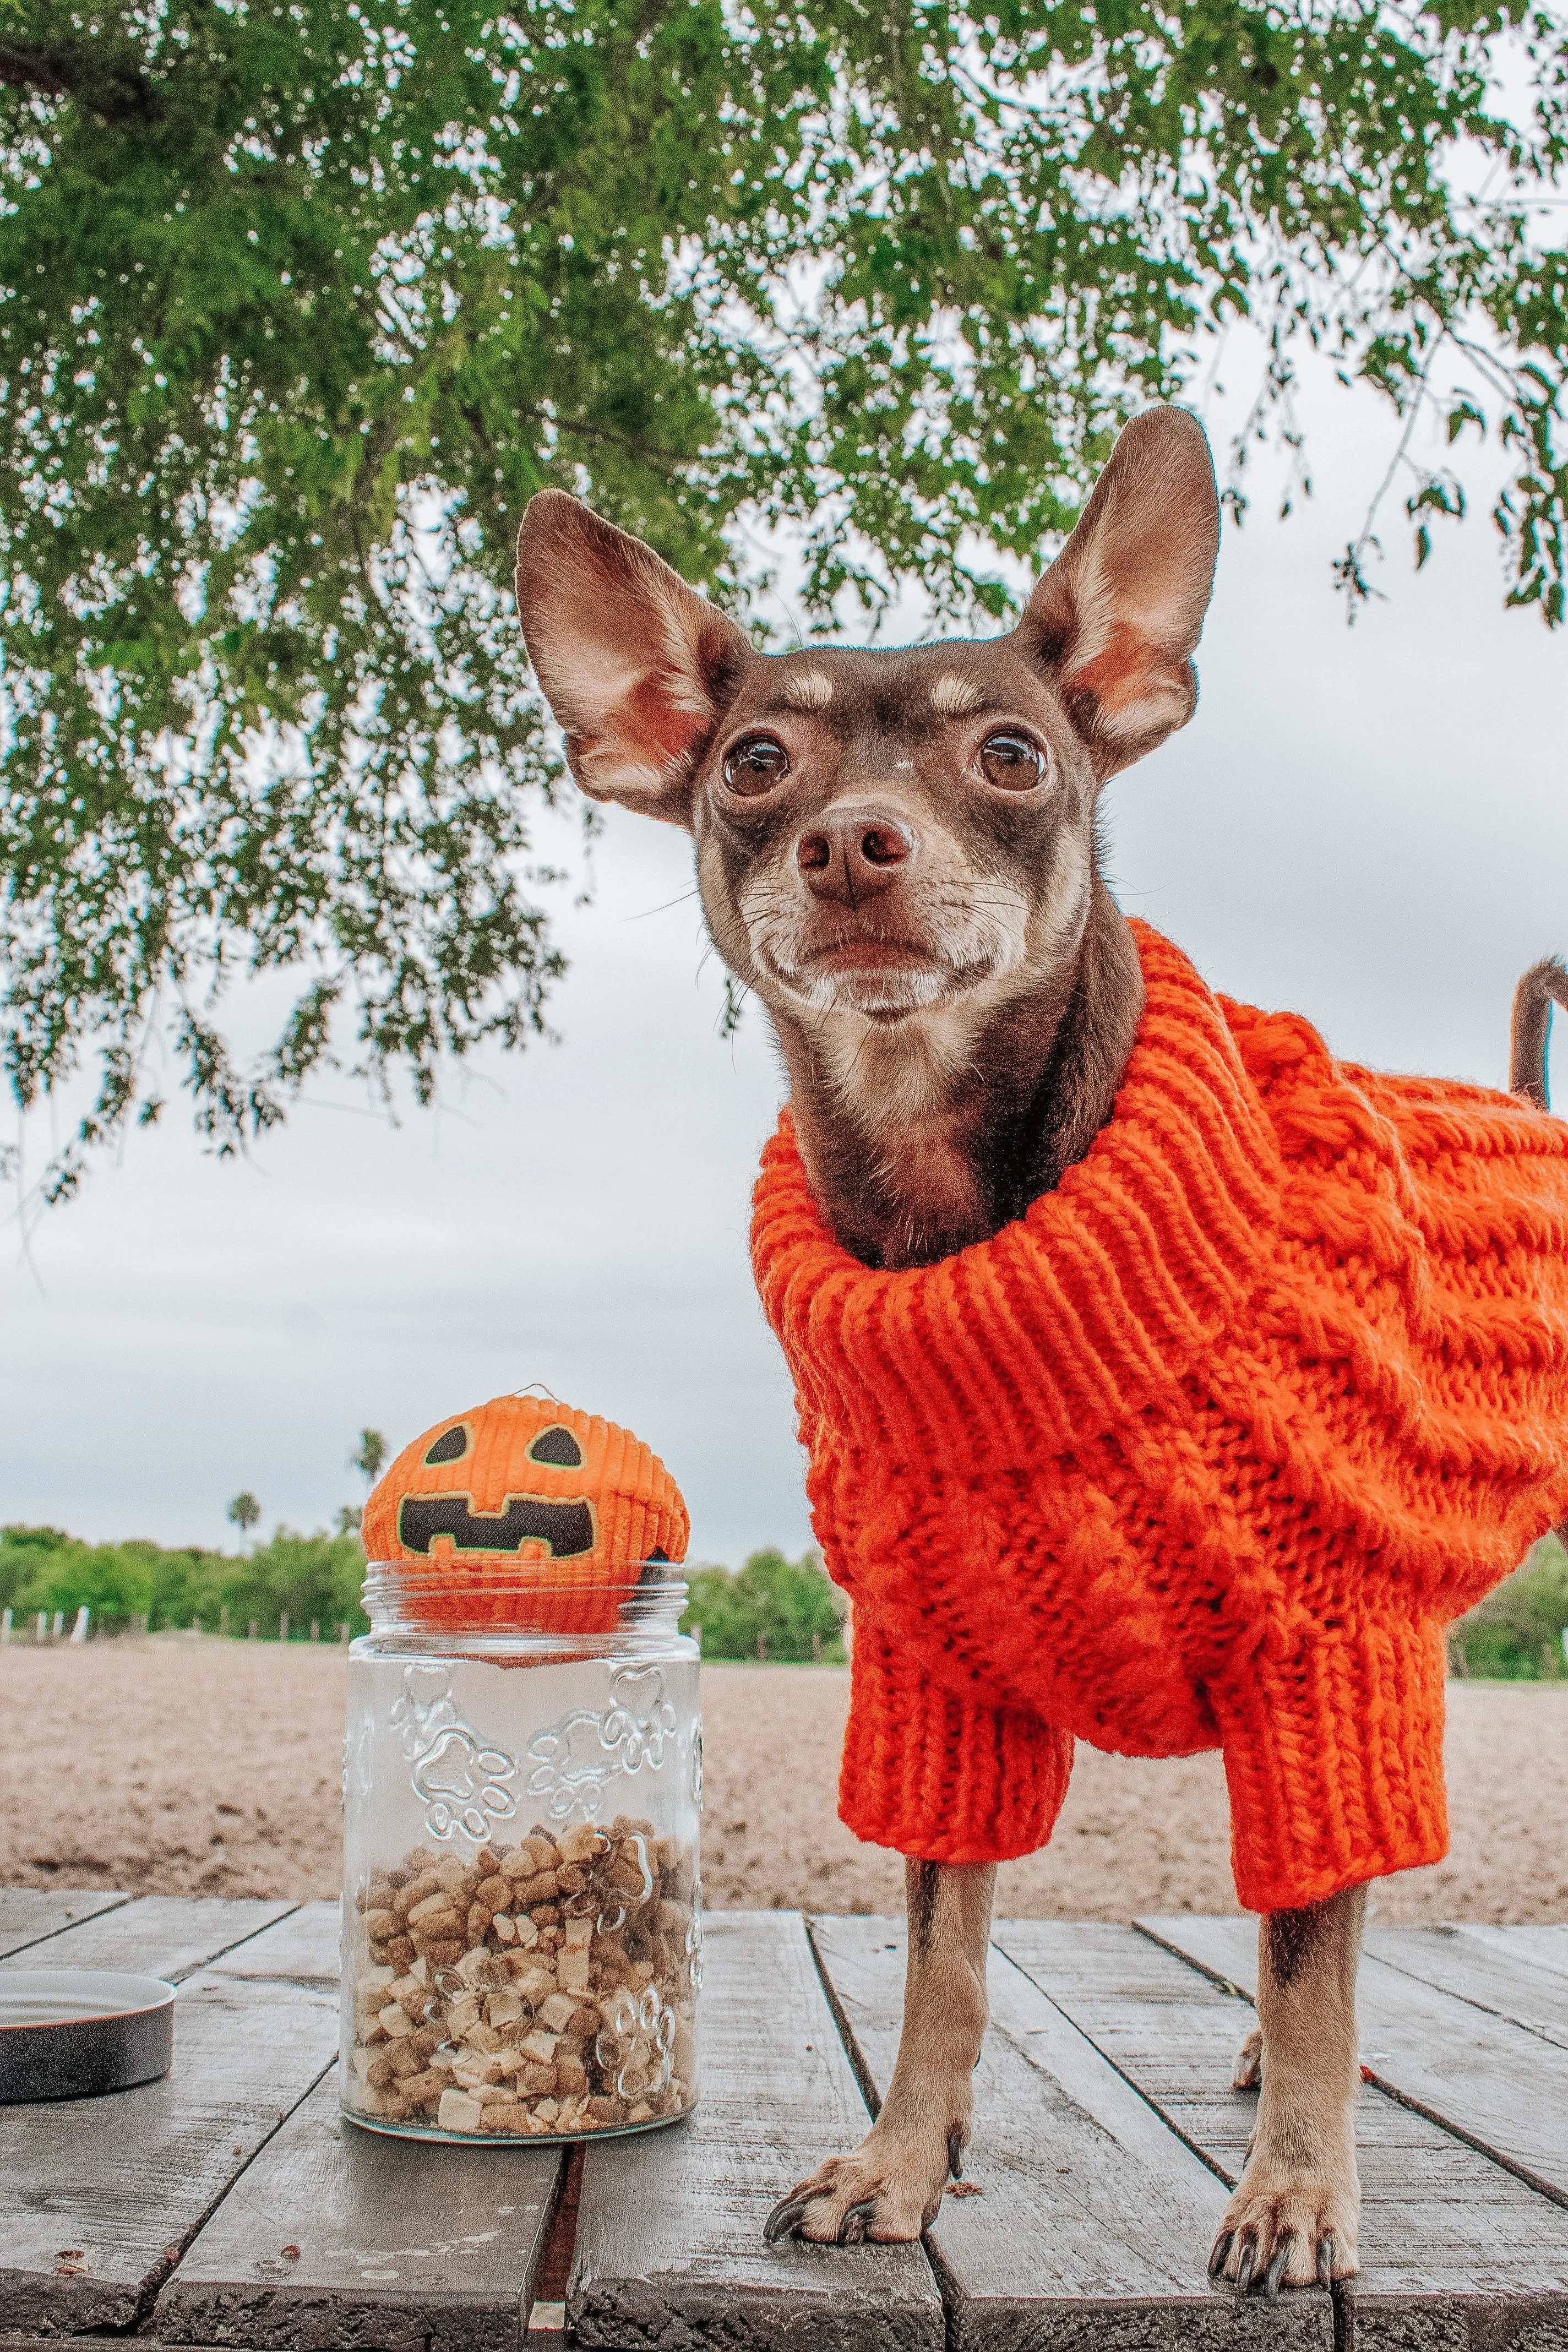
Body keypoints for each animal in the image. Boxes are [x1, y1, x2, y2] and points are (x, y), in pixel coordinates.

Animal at [517, 409, 1568, 2295]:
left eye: (1009, 753)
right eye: (754, 763)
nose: (851, 841)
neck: (967, 1221)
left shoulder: (1329, 1661)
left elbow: (1313, 1952)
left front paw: (1297, 2193)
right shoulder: (942, 1690)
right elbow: (943, 1959)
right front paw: (897, 2162)